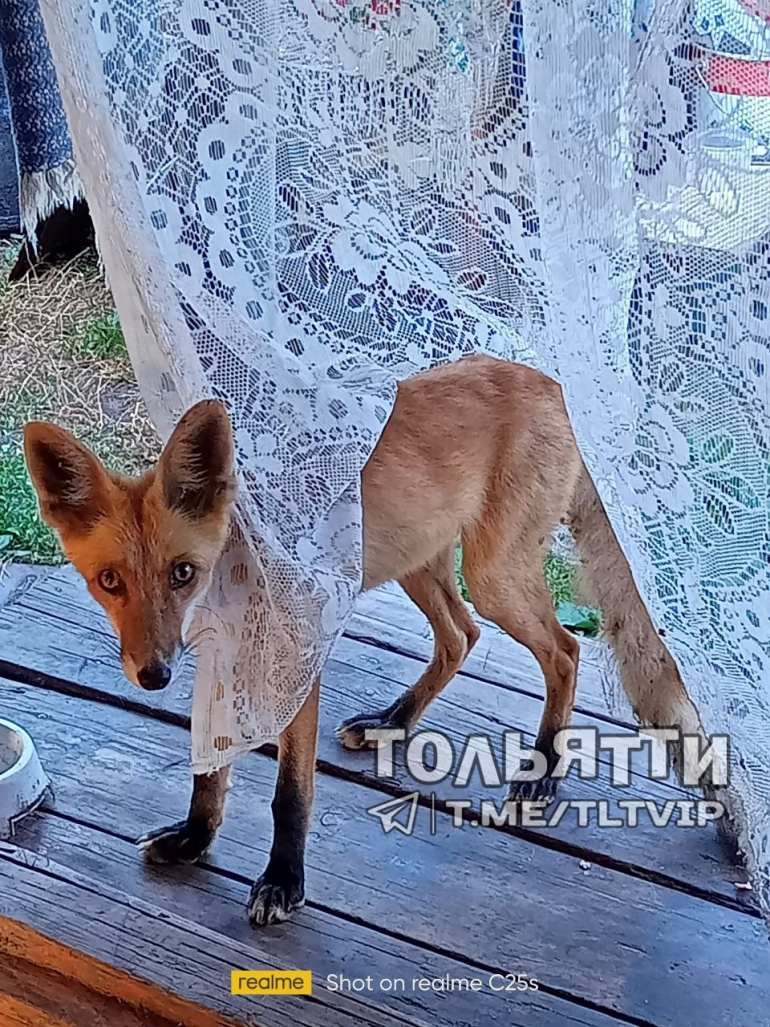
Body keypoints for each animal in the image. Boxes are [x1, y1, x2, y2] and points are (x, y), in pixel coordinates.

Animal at [21, 353, 710, 924]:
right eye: (110, 581)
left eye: (181, 574)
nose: (154, 675)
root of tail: (548, 381)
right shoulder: (219, 658)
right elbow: (209, 770)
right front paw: (195, 839)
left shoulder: (297, 656)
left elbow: (289, 797)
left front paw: (283, 882)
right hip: (419, 560)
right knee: (462, 636)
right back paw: (393, 721)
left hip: (492, 575)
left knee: (563, 650)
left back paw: (542, 767)